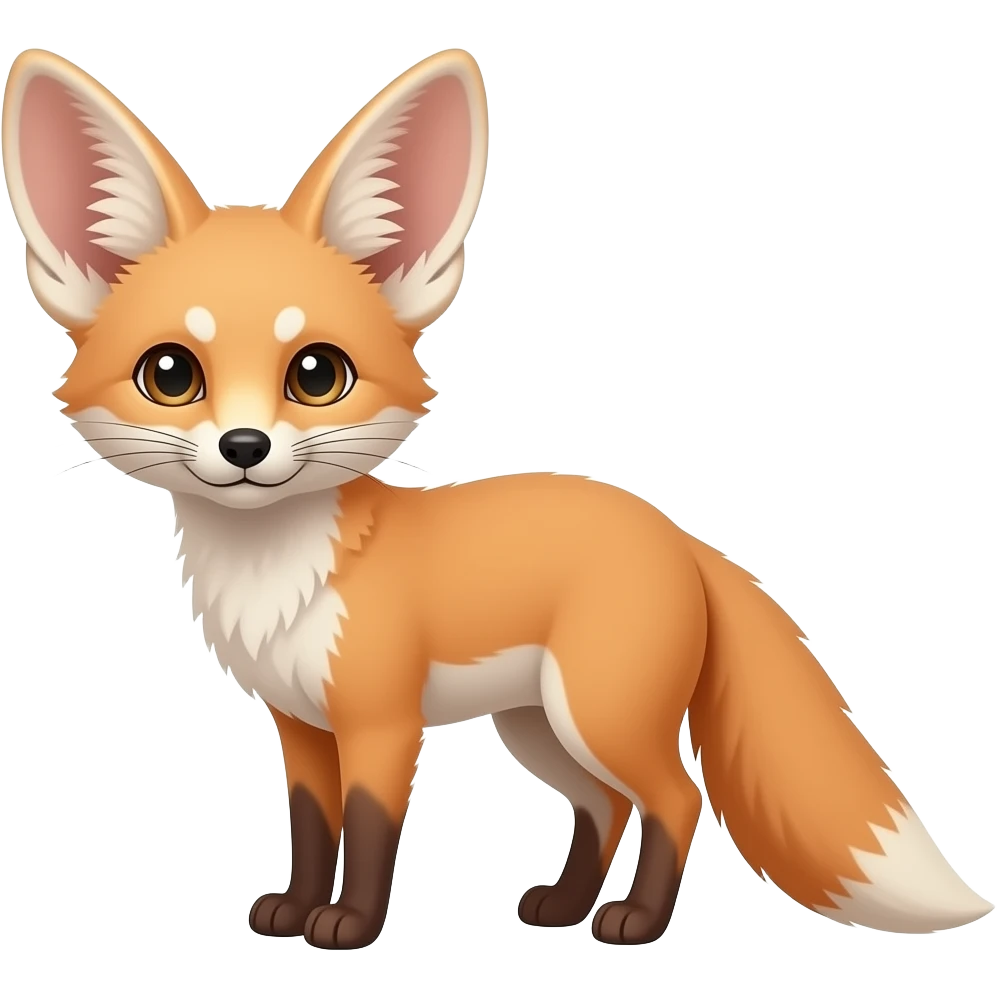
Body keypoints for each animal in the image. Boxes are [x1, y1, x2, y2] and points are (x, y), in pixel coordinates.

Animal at [7, 43, 993, 949]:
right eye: (170, 375)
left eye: (317, 374)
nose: (243, 449)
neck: (278, 580)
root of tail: (677, 534)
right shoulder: (301, 726)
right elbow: (313, 829)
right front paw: (293, 908)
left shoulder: (383, 722)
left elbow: (370, 831)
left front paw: (349, 924)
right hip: (538, 728)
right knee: (603, 806)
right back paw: (564, 906)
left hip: (597, 715)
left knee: (677, 796)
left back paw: (632, 920)